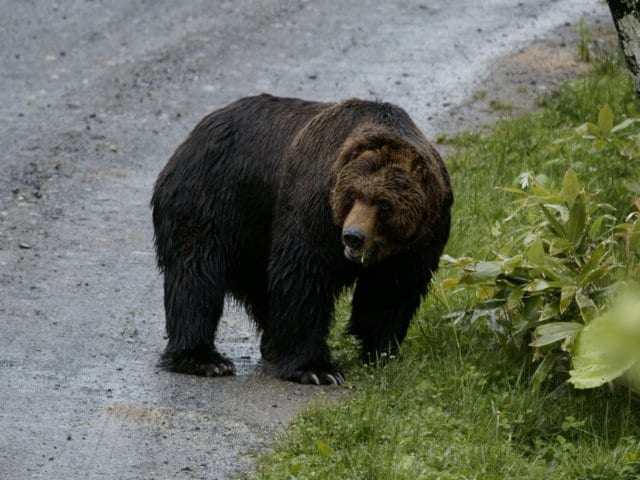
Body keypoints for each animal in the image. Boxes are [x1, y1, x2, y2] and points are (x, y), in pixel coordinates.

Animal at [151, 94, 452, 385]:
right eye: (353, 195)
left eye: (385, 205)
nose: (353, 236)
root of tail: (193, 135)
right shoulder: (314, 206)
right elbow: (304, 275)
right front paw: (317, 369)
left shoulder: (419, 241)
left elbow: (391, 291)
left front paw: (382, 352)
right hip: (212, 200)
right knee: (197, 274)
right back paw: (205, 359)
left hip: (254, 230)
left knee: (258, 285)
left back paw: (270, 345)